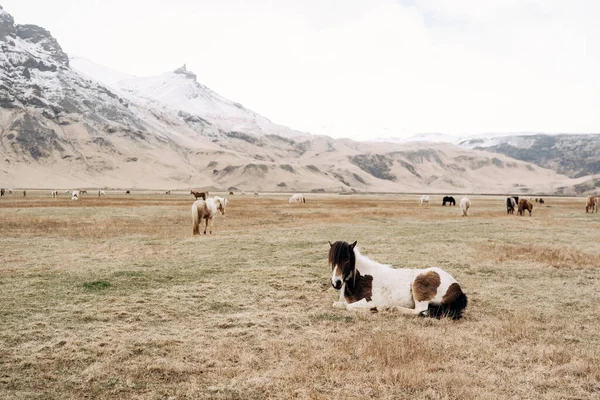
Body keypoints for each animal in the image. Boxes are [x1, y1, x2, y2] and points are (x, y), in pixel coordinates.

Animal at [330, 239, 466, 320]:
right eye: (332, 260)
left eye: (346, 259)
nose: (336, 283)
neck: (363, 279)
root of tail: (457, 287)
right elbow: (338, 304)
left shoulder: (371, 301)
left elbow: (349, 307)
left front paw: (375, 309)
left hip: (418, 284)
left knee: (420, 310)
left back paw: (393, 309)